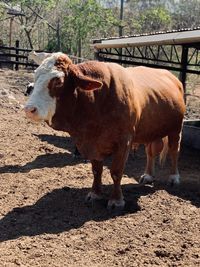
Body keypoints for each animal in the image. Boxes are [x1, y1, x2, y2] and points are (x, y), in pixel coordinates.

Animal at [24, 52, 186, 210]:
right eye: (35, 76)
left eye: (58, 80)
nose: (29, 109)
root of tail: (172, 77)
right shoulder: (93, 142)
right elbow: (97, 170)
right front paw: (95, 193)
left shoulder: (124, 142)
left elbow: (116, 172)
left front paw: (116, 200)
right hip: (151, 130)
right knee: (151, 152)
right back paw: (148, 175)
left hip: (176, 129)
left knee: (174, 150)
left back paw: (174, 177)